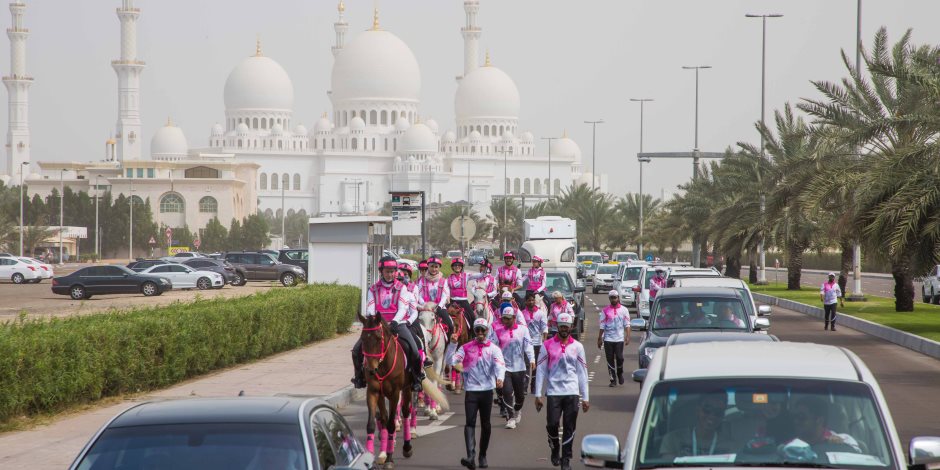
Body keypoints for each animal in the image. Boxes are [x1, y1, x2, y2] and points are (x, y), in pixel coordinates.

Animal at [358, 312, 450, 466]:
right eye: (363, 338)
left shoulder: (395, 393)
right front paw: (378, 455)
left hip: (409, 387)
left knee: (407, 411)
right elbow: (375, 422)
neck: (383, 365)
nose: (370, 370)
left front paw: (389, 458)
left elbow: (390, 423)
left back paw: (408, 444)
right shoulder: (373, 392)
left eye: (378, 338)